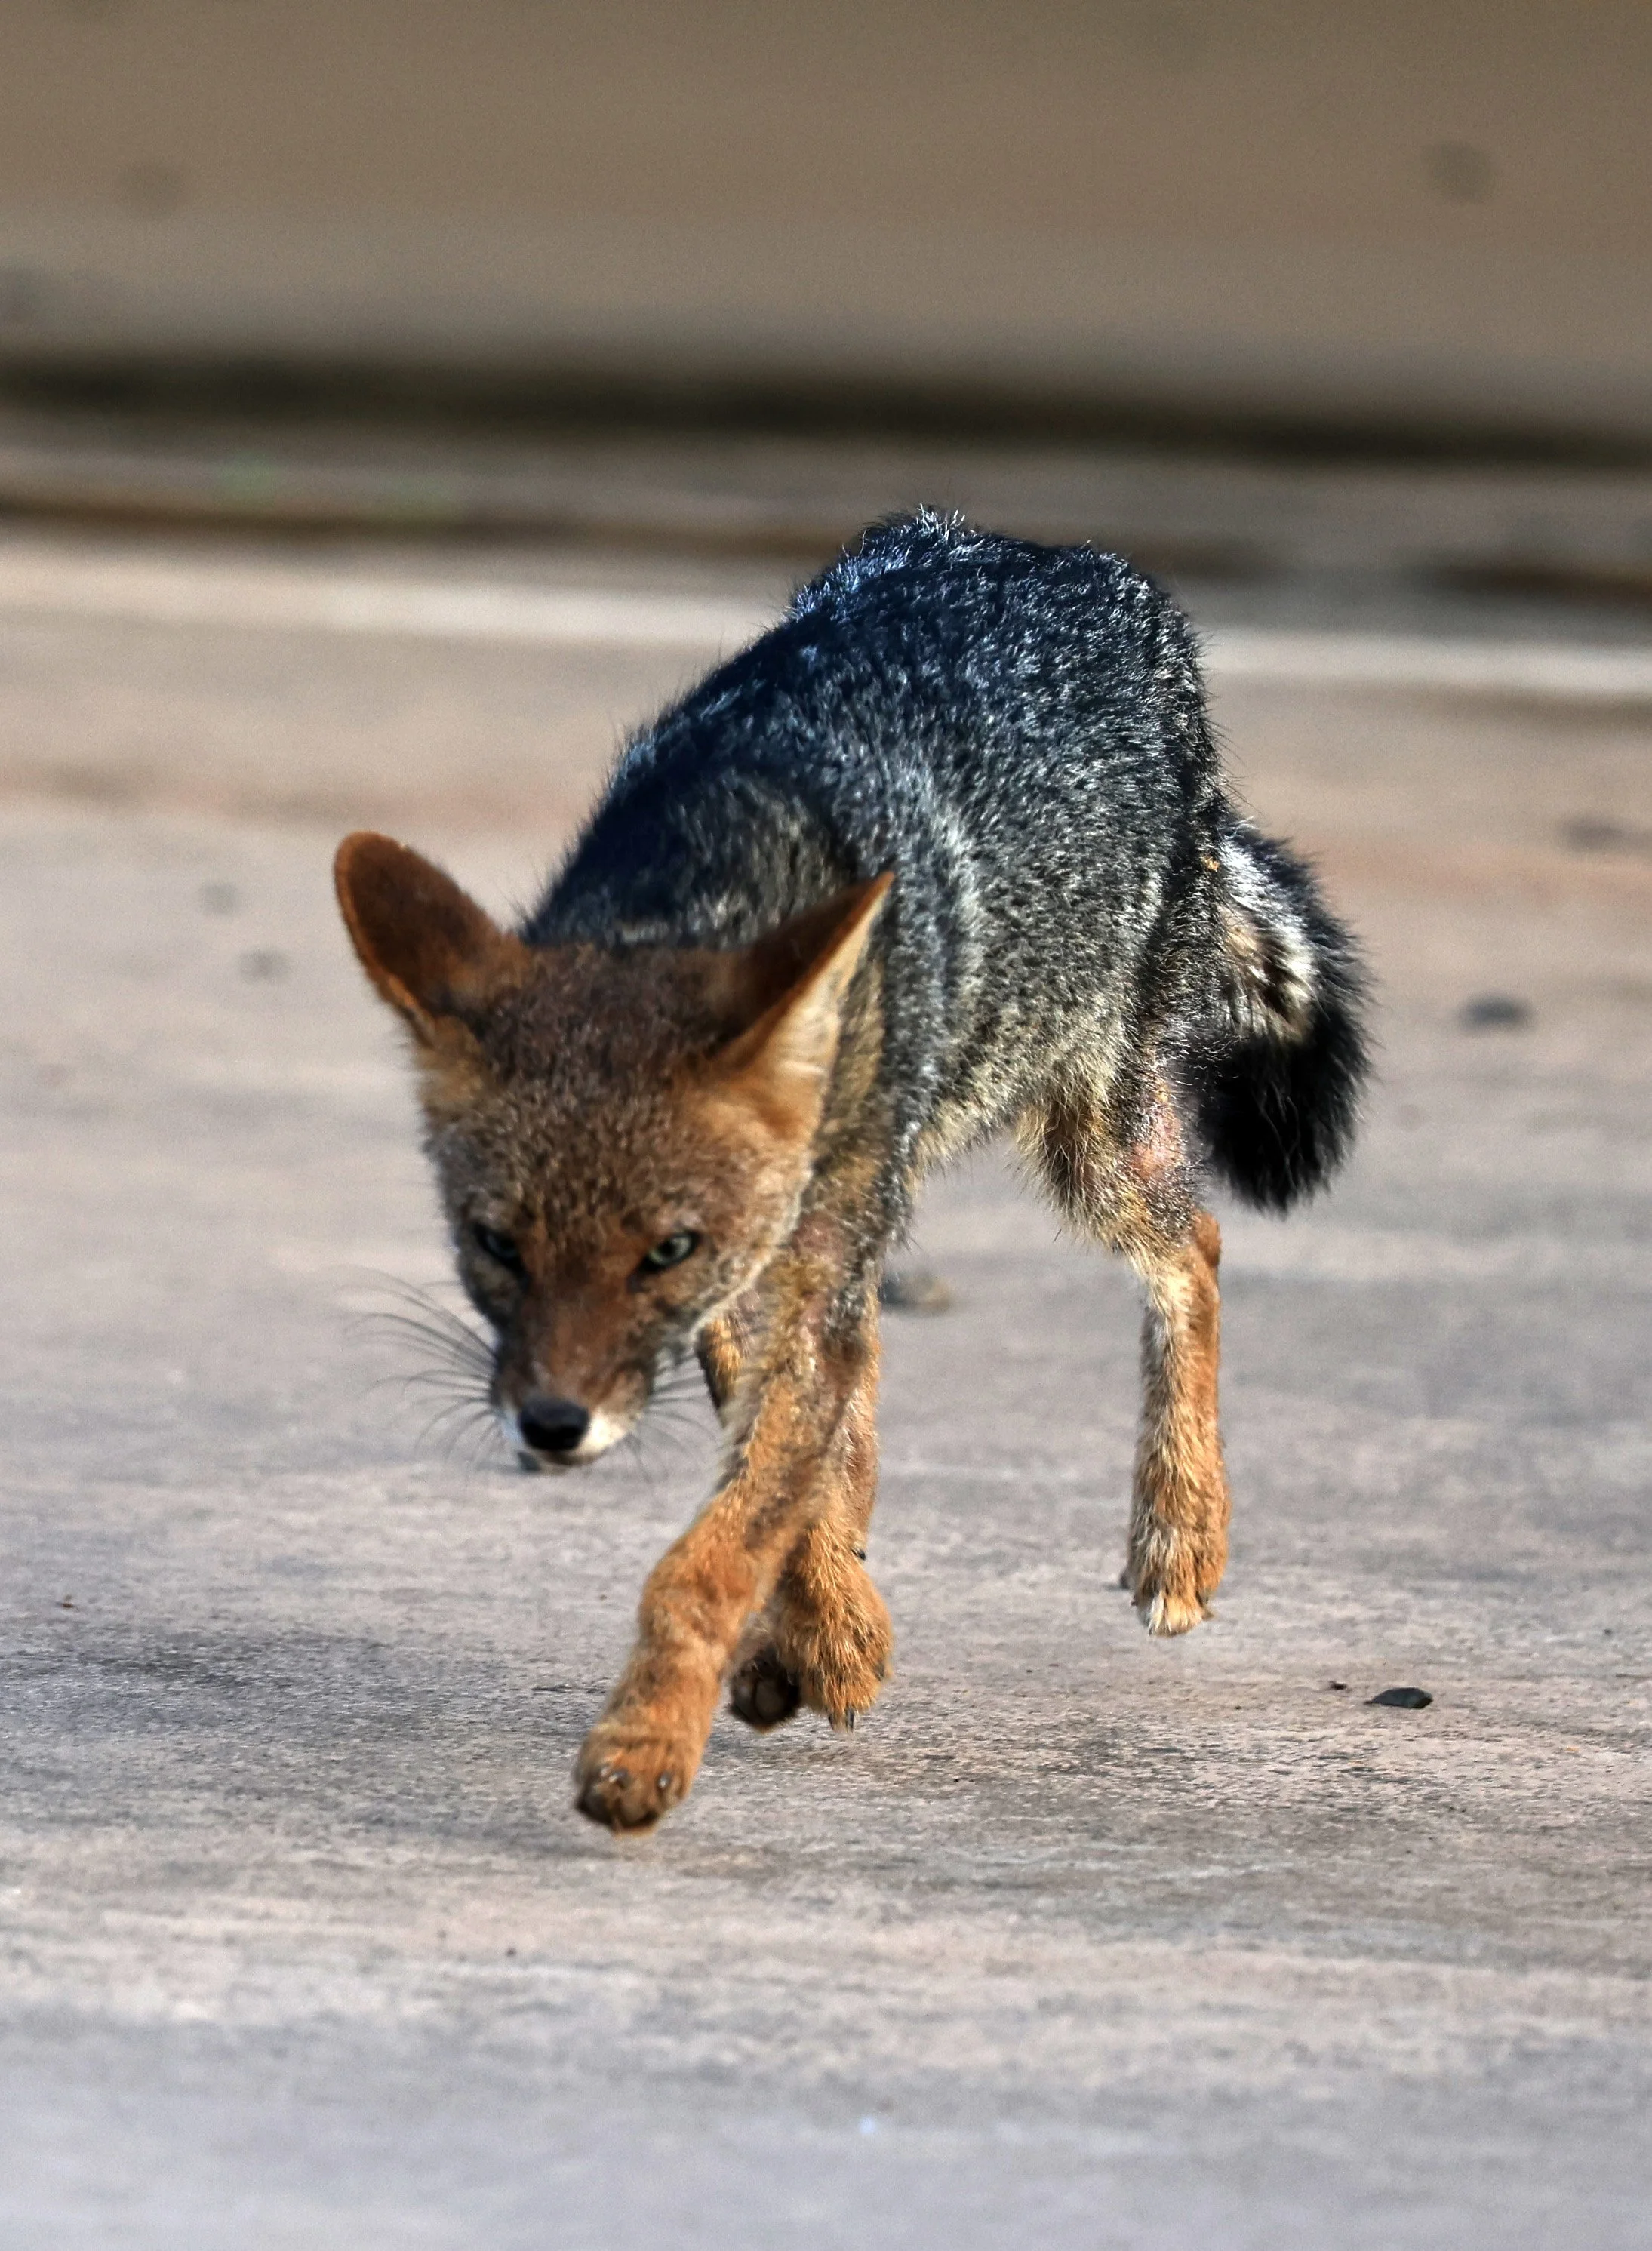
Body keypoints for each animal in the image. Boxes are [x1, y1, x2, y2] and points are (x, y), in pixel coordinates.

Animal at [334, 512, 1368, 1833]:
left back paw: (1181, 1528)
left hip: (1091, 1142)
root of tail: (1052, 553)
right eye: (494, 1243)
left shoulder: (779, 1267)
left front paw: (645, 1743)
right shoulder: (759, 1281)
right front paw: (824, 1630)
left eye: (665, 1248)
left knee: (1195, 1245)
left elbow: (717, 1546)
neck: (706, 877)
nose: (551, 1425)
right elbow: (788, 1474)